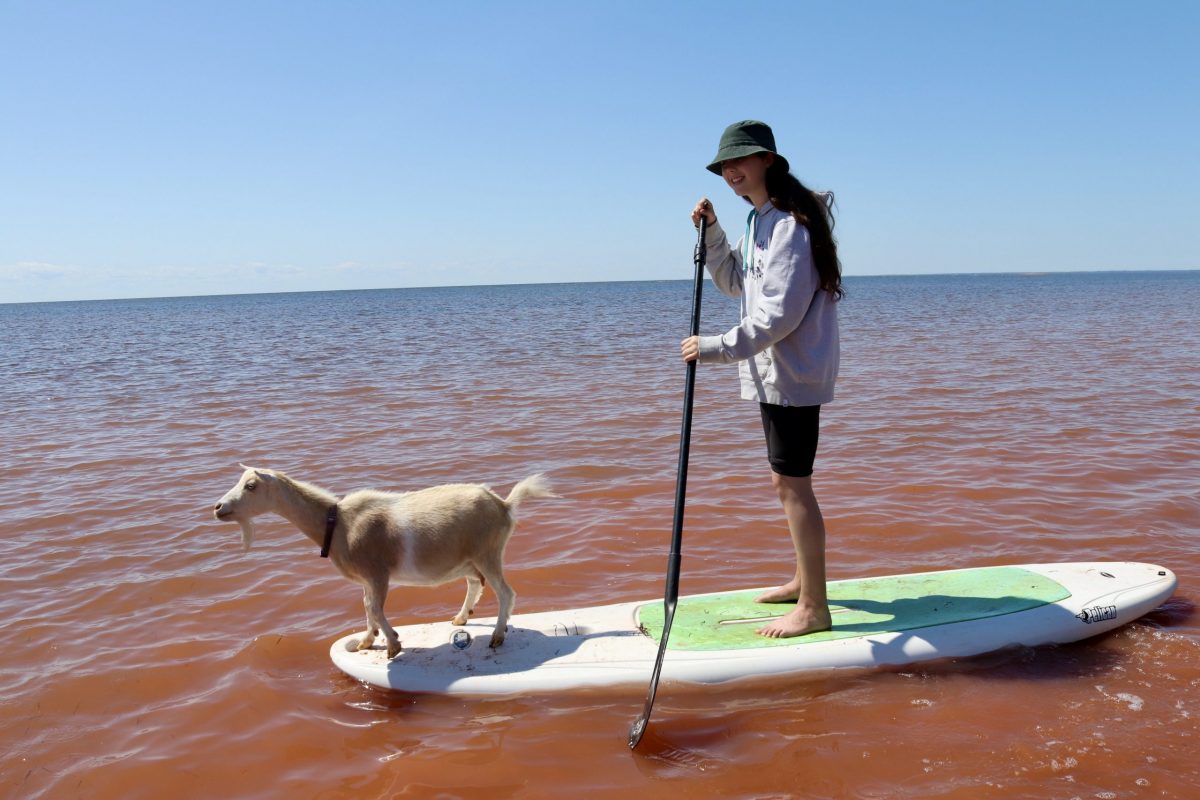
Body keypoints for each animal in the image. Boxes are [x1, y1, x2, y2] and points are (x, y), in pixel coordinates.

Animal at [213, 465, 554, 662]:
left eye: (251, 486)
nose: (218, 507)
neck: (337, 523)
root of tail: (505, 505)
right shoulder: (367, 579)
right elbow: (367, 607)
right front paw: (365, 642)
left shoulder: (379, 573)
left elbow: (375, 608)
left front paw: (392, 645)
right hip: (469, 559)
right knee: (475, 584)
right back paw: (461, 618)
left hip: (488, 553)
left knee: (506, 593)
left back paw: (497, 636)